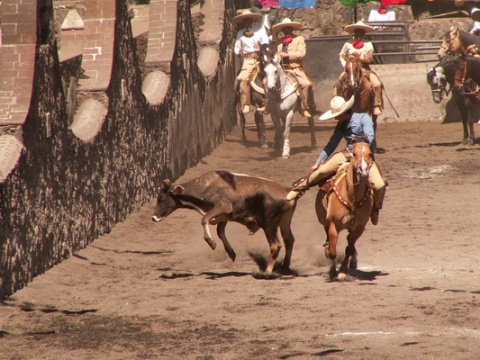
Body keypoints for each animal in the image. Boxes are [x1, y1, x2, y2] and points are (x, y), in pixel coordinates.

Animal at [153, 170, 296, 274]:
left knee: (275, 245)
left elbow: (204, 220)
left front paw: (211, 242)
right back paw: (285, 267)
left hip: (269, 224)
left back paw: (267, 271)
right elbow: (220, 231)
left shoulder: (223, 206)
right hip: (285, 222)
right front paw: (231, 253)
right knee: (289, 240)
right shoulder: (225, 216)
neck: (206, 186)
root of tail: (288, 190)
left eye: (161, 199)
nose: (153, 217)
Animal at [316, 142, 376, 280]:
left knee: (350, 242)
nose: (363, 172)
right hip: (324, 220)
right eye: (354, 153)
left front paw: (343, 271)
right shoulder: (333, 223)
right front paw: (327, 251)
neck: (352, 197)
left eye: (370, 153)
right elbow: (333, 249)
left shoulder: (359, 227)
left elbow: (349, 248)